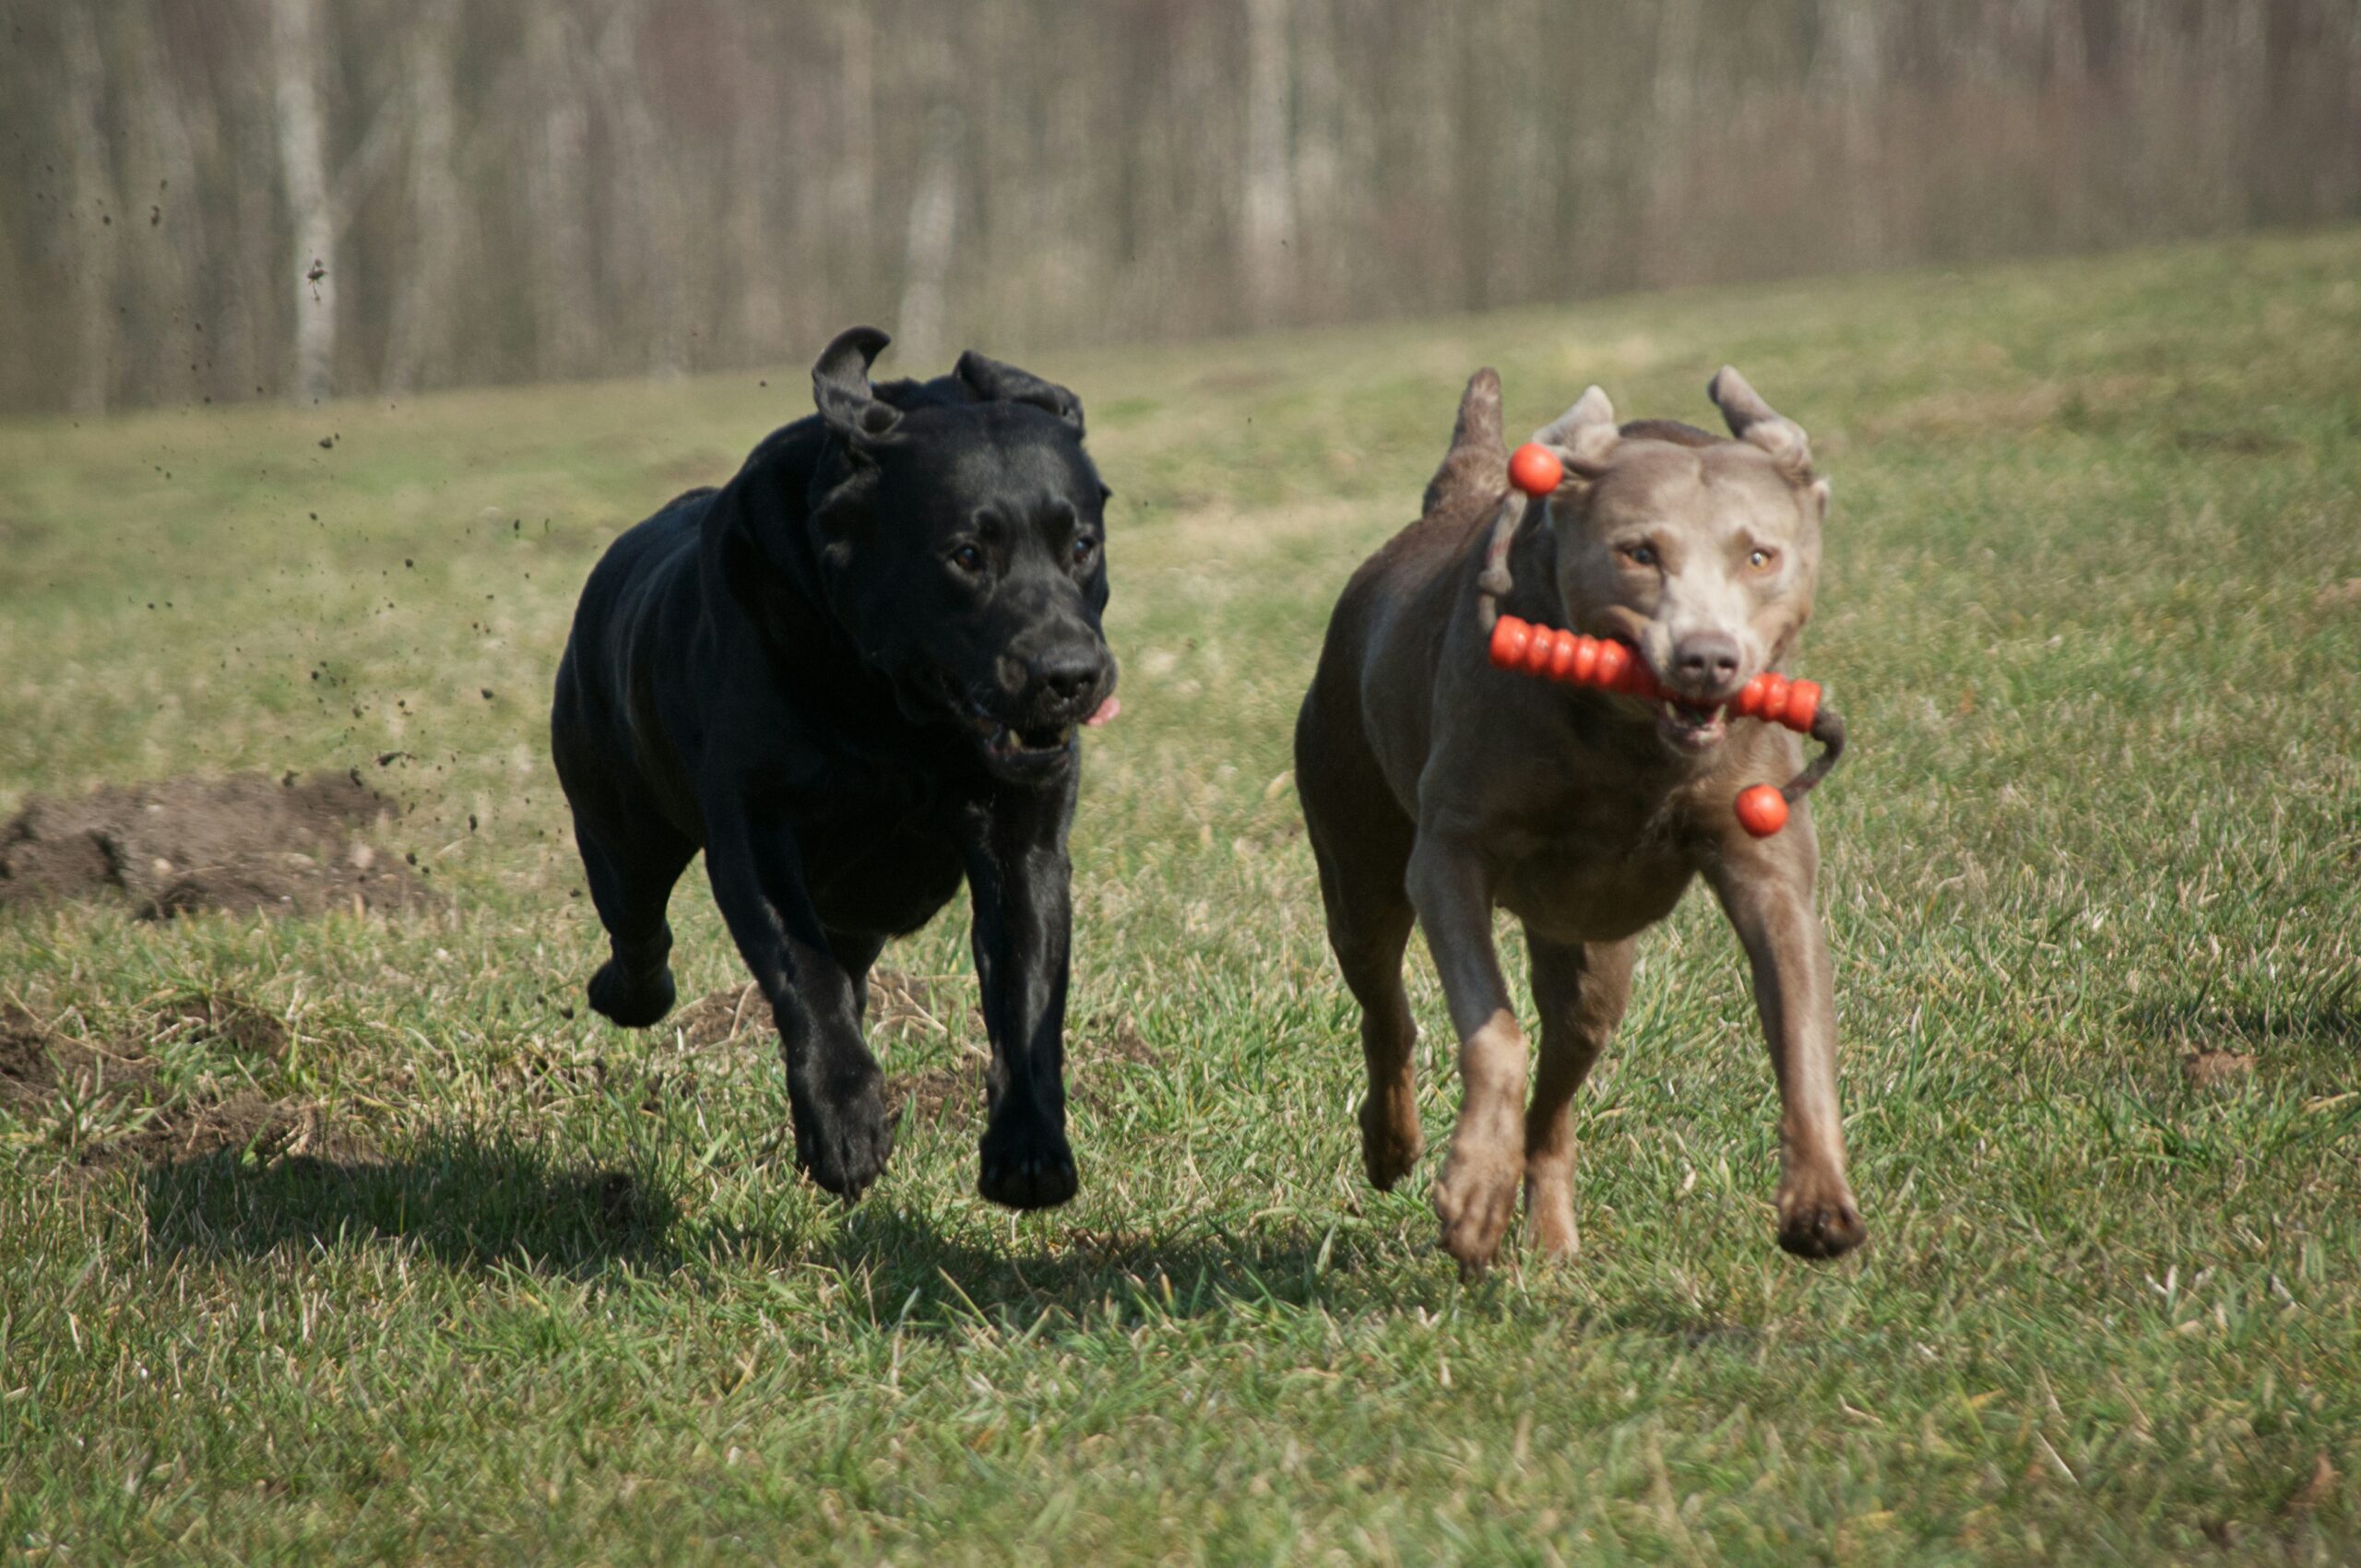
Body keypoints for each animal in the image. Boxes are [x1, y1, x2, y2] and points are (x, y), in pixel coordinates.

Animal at [552, 327, 1114, 1208]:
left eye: (1081, 545)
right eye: (966, 554)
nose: (1070, 673)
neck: (898, 716)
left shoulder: (1025, 846)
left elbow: (1027, 998)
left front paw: (1030, 1149)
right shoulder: (754, 834)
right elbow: (803, 974)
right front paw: (846, 1125)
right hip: (619, 829)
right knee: (641, 932)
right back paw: (629, 993)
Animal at [1293, 368, 1860, 1275]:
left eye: (1760, 556)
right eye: (1639, 552)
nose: (1707, 659)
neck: (1629, 745)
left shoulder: (1767, 869)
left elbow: (1801, 1028)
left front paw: (1819, 1200)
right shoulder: (1450, 854)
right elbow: (1492, 1030)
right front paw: (1471, 1191)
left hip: (1592, 959)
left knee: (1558, 1092)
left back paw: (1552, 1239)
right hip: (1356, 856)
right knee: (1386, 1006)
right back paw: (1393, 1145)